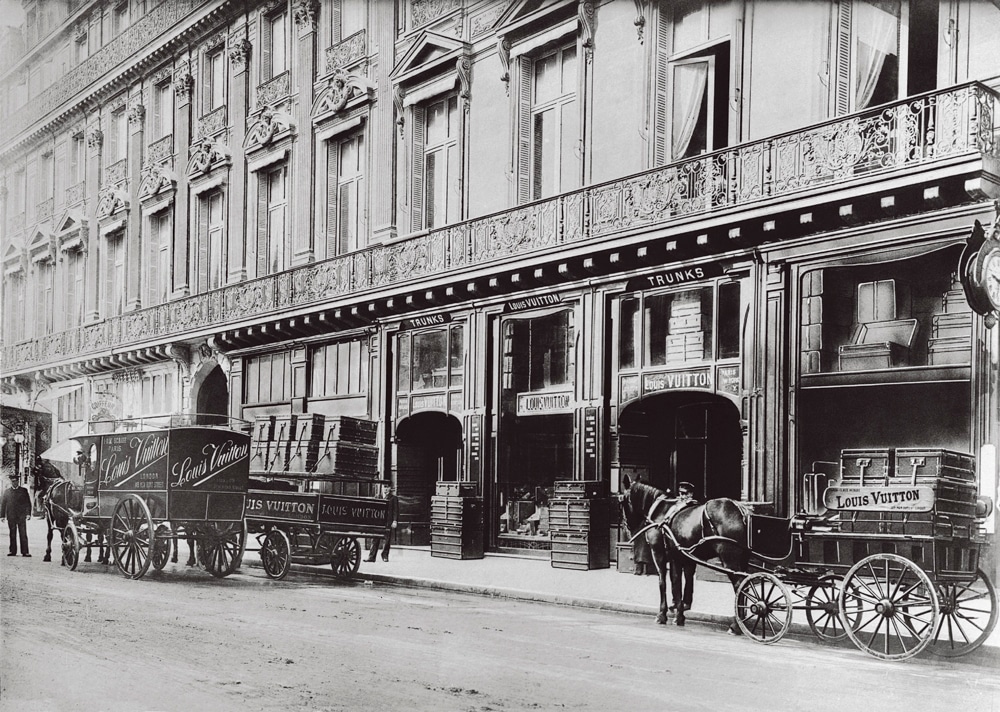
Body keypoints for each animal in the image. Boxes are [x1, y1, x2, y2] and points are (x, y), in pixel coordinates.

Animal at [616, 478, 752, 628]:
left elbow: (664, 582)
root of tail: (740, 509)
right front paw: (679, 613)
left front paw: (662, 615)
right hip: (742, 559)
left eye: (621, 501)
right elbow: (679, 581)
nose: (626, 527)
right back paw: (742, 619)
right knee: (746, 585)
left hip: (729, 558)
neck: (660, 511)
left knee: (739, 584)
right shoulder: (679, 556)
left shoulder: (659, 553)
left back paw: (736, 625)